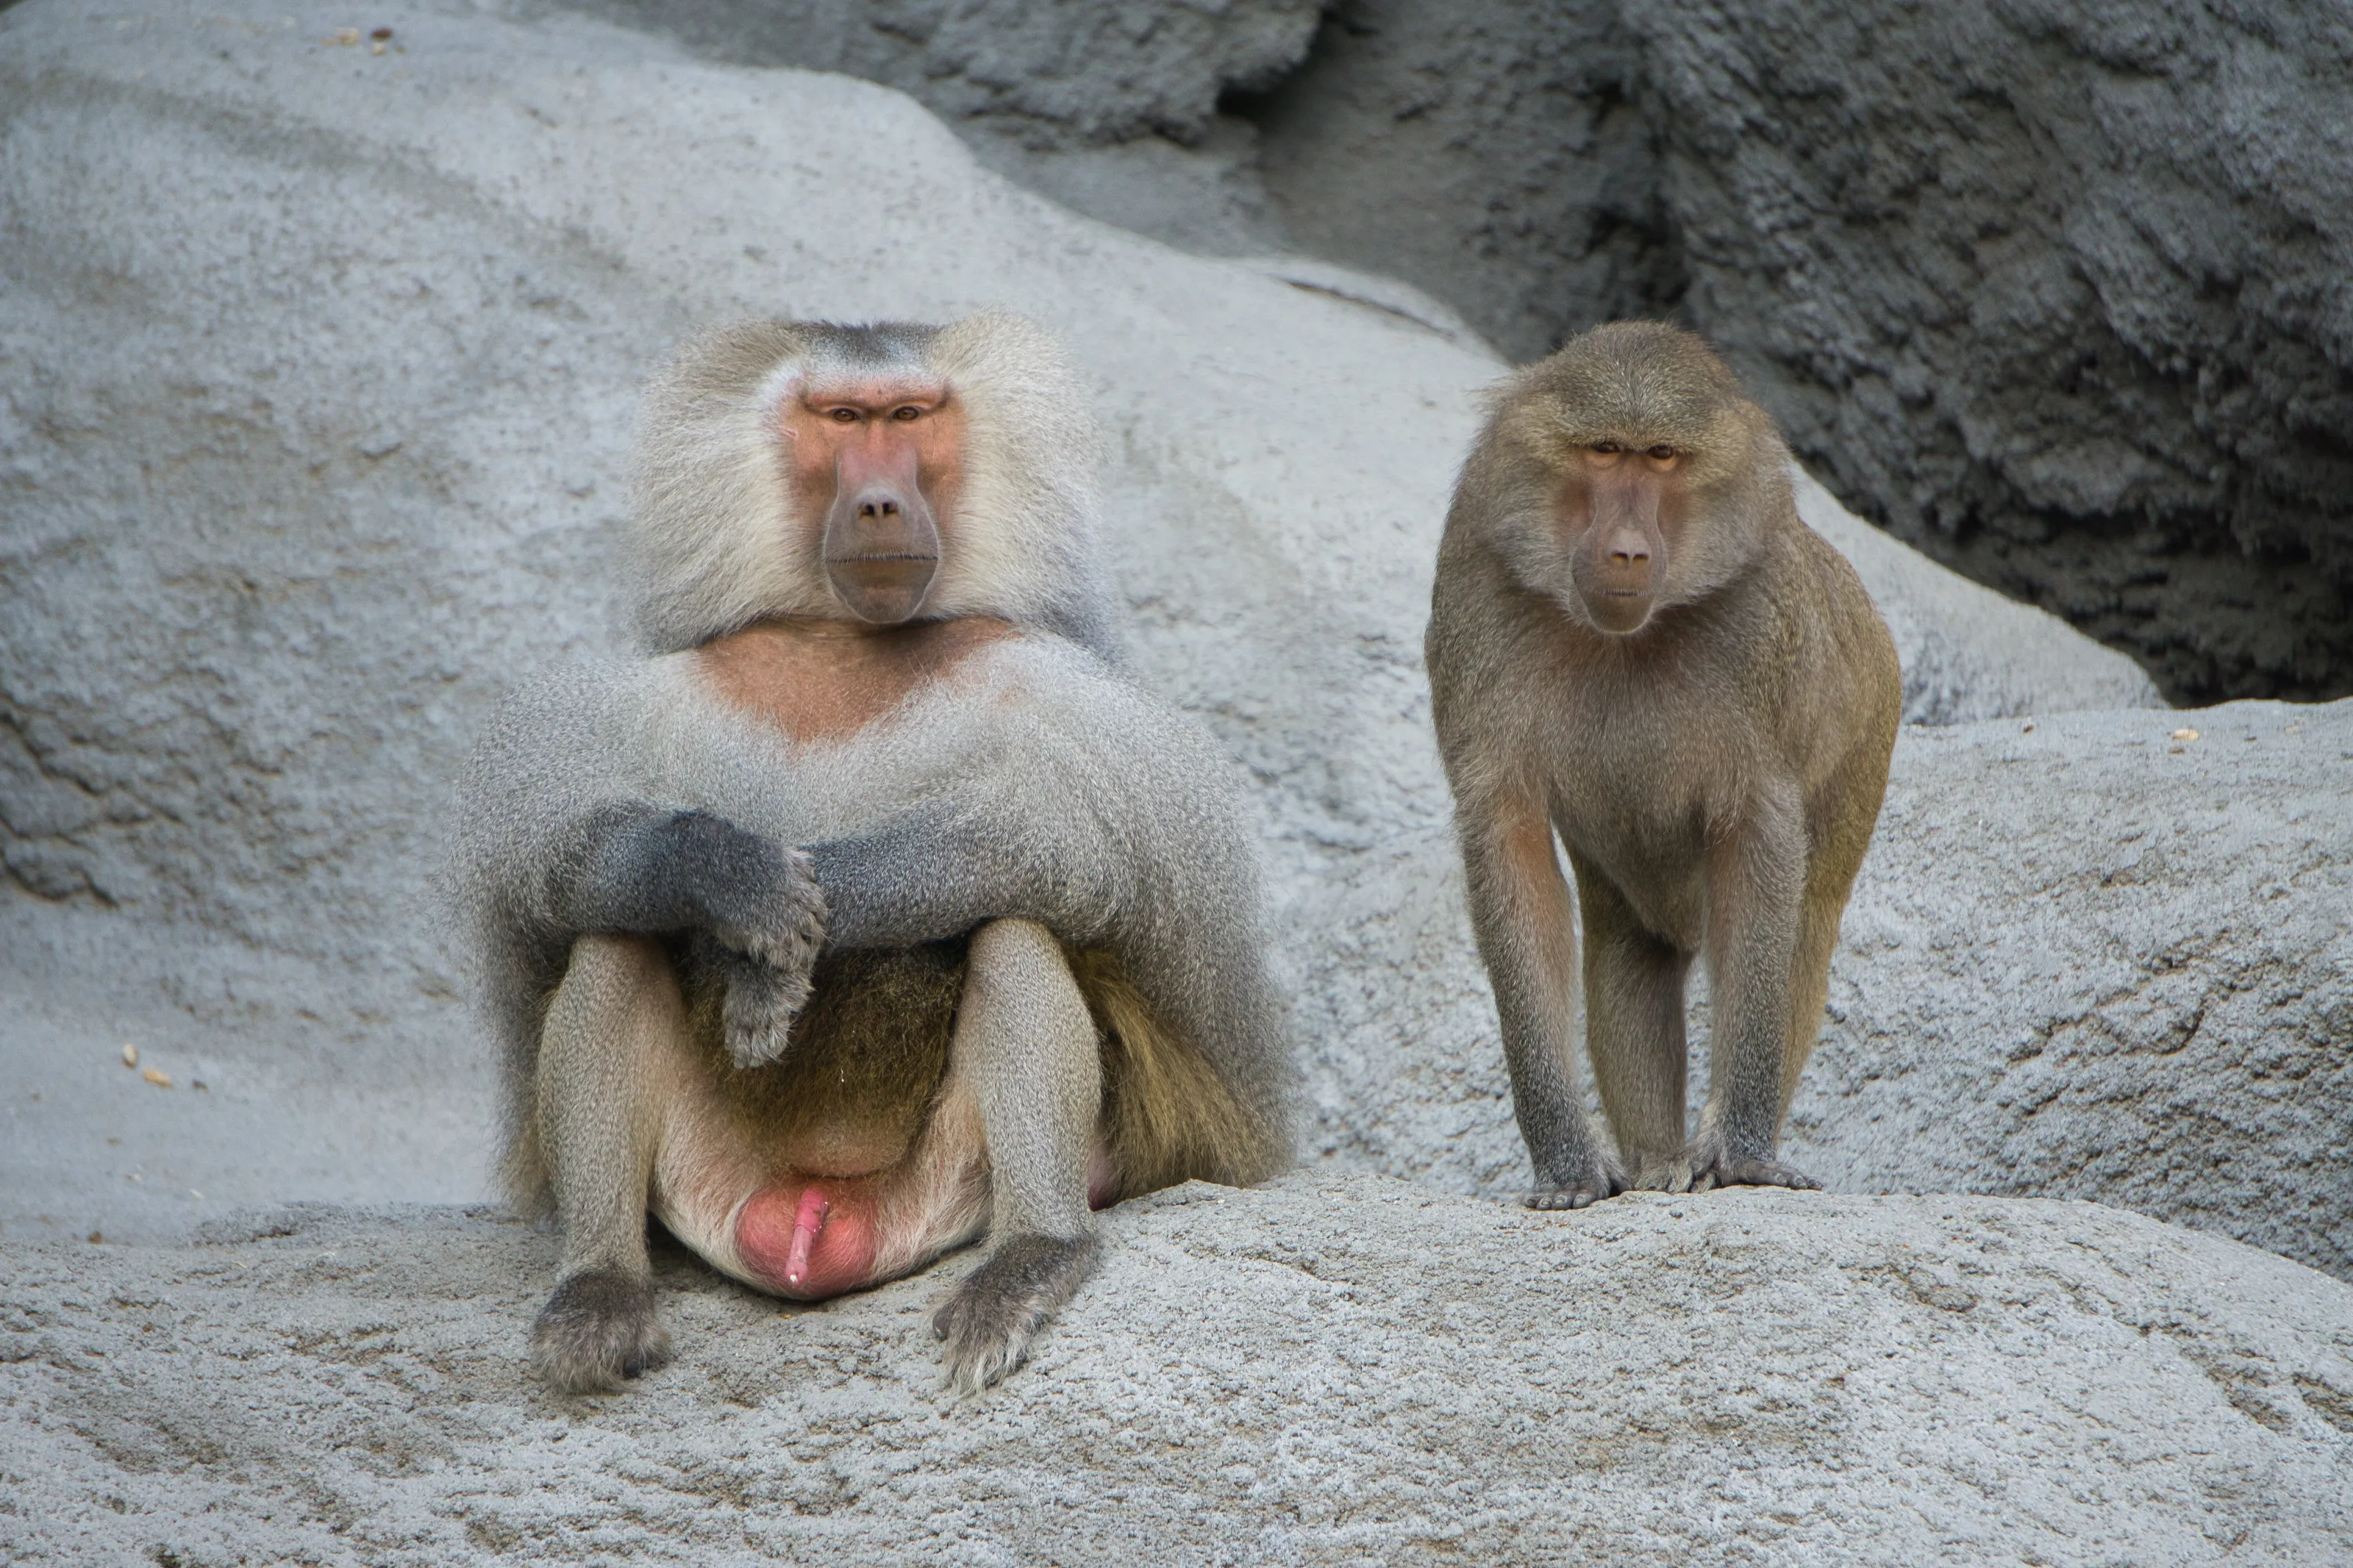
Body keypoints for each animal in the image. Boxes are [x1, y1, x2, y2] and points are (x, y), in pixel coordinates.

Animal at [455, 314, 1294, 1395]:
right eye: (842, 419)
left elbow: (1038, 842)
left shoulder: (1063, 694)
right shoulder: (643, 699)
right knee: (612, 945)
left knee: (1014, 931)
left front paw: (785, 937)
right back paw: (600, 1294)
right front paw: (729, 885)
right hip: (714, 1191)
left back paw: (1034, 1259)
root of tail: (821, 1221)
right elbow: (567, 864)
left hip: (954, 1195)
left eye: (908, 417)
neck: (840, 643)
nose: (881, 502)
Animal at [1425, 321, 1901, 1210]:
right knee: (1629, 949)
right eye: (1605, 451)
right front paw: (1570, 1165)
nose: (1625, 552)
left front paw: (1741, 1152)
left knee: (1805, 928)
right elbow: (1512, 856)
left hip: (1869, 736)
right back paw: (1654, 1162)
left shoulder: (1763, 641)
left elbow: (1761, 860)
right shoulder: (1477, 599)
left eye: (1663, 457)